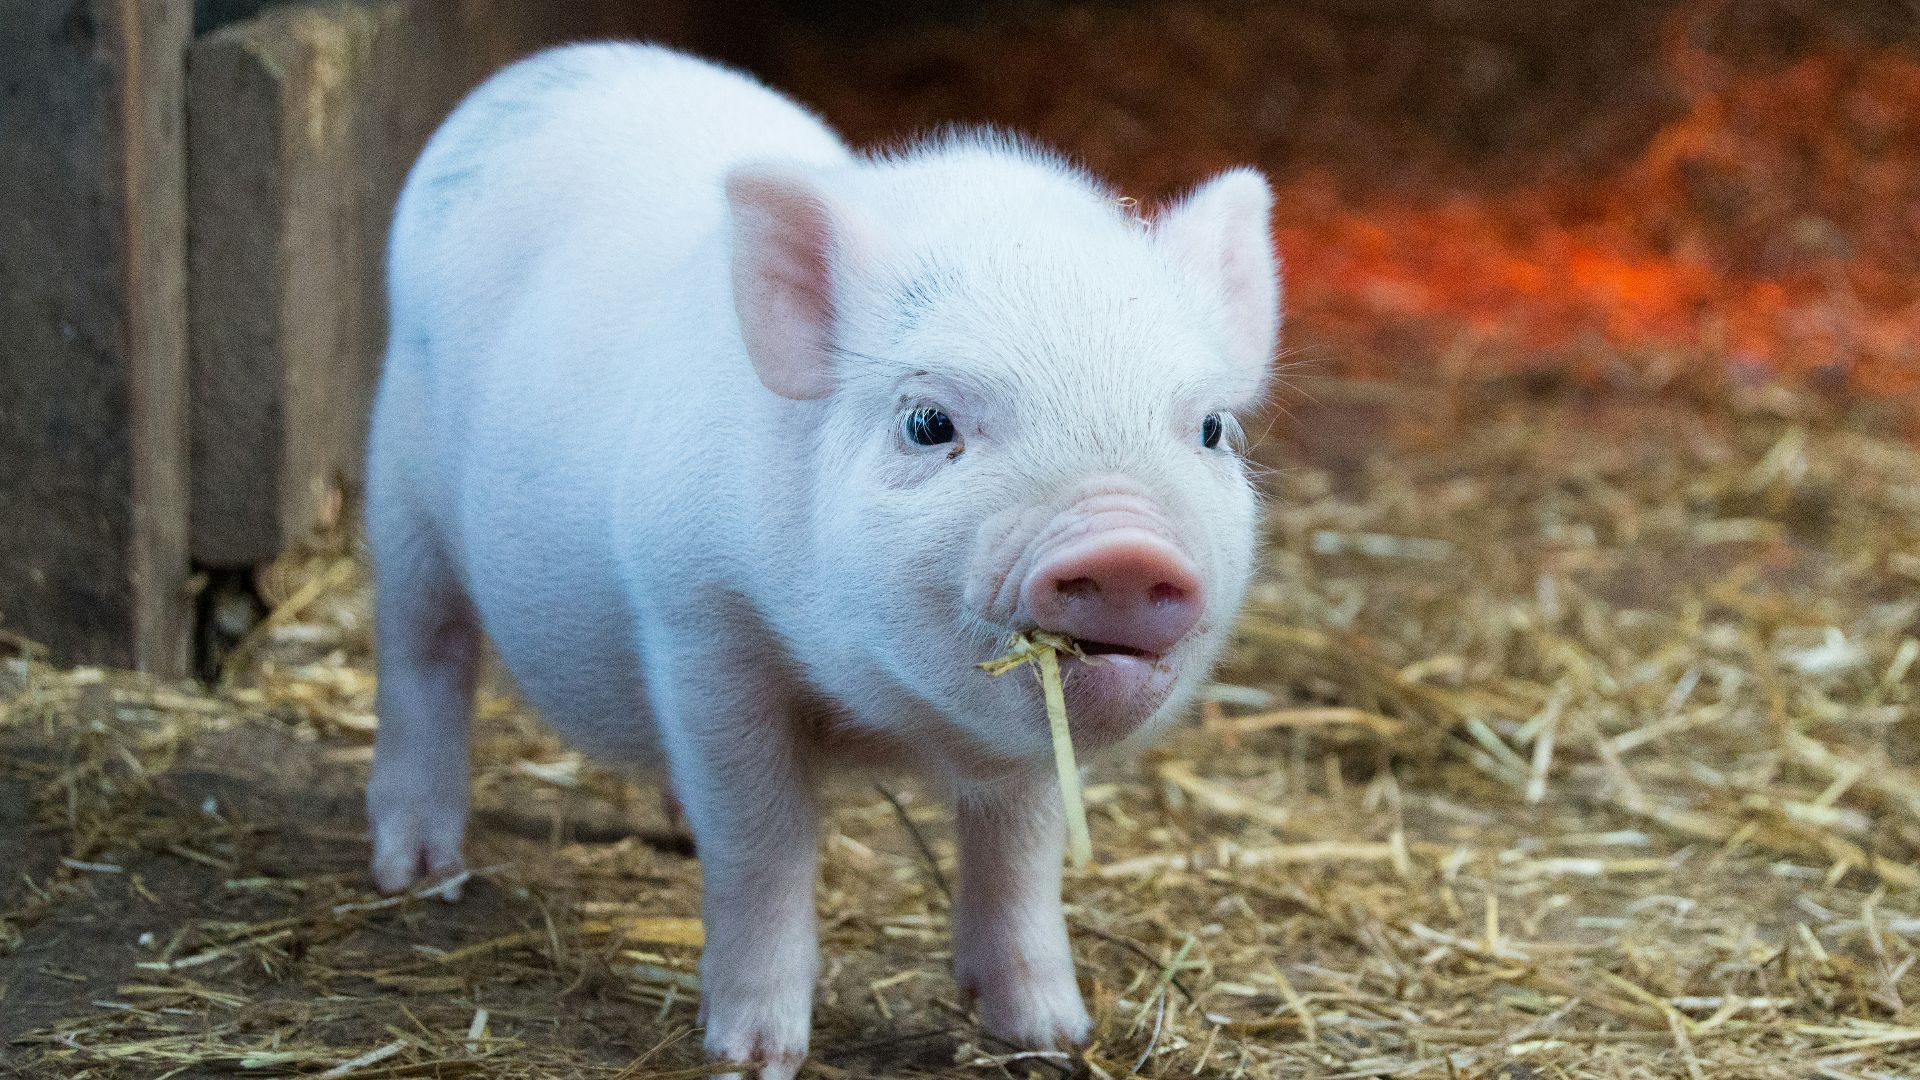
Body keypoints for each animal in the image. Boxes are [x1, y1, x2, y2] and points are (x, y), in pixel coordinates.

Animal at [363, 42, 1280, 1079]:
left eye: (1212, 429)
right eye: (928, 423)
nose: (1124, 545)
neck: (887, 719)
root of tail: (545, 69)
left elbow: (1022, 849)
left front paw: (1051, 1035)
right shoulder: (700, 621)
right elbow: (761, 839)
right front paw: (753, 1055)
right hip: (400, 482)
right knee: (423, 652)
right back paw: (417, 873)